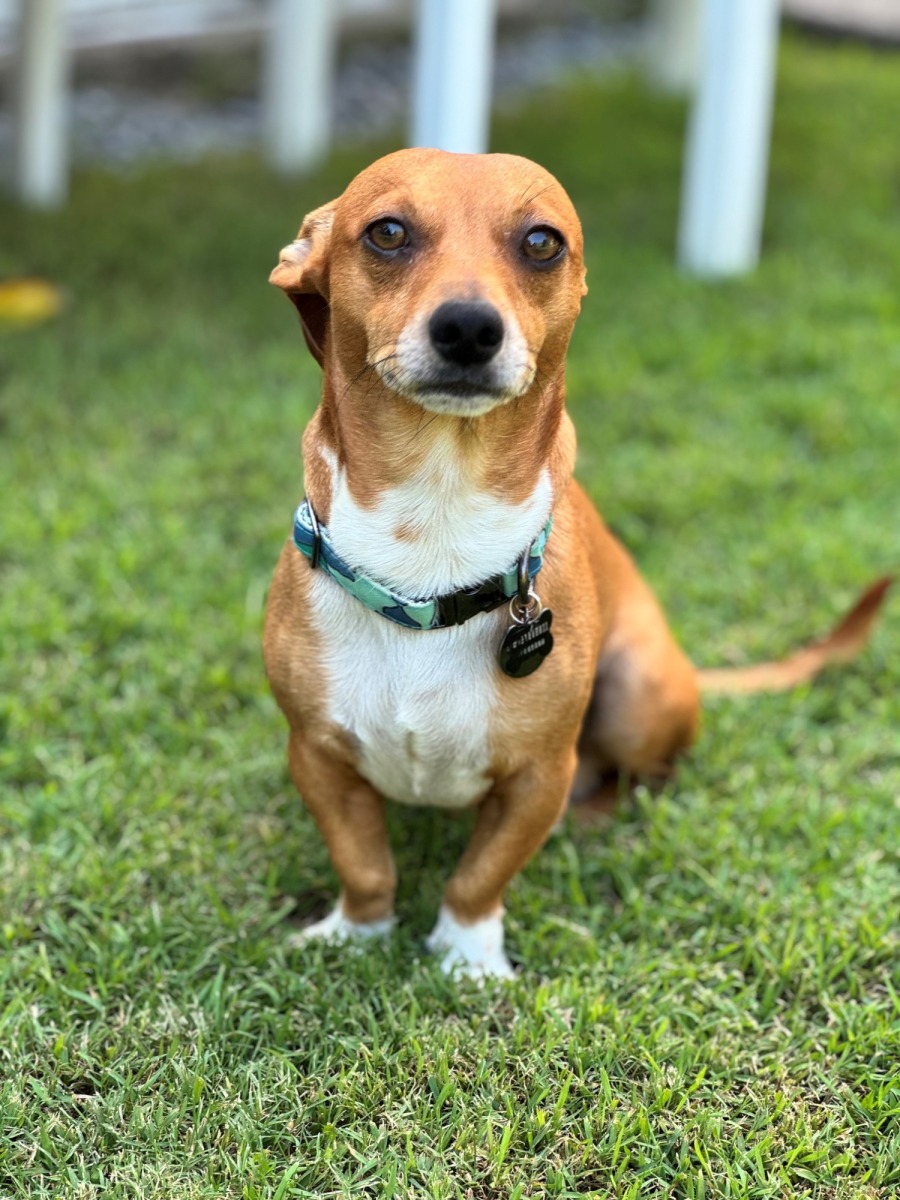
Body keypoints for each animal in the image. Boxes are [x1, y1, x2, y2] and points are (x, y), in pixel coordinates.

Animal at [263, 148, 890, 980]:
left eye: (541, 242)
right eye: (387, 232)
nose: (469, 326)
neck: (433, 529)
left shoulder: (540, 774)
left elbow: (480, 874)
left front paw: (466, 956)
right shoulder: (317, 756)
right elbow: (364, 862)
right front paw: (357, 932)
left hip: (636, 692)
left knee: (646, 780)